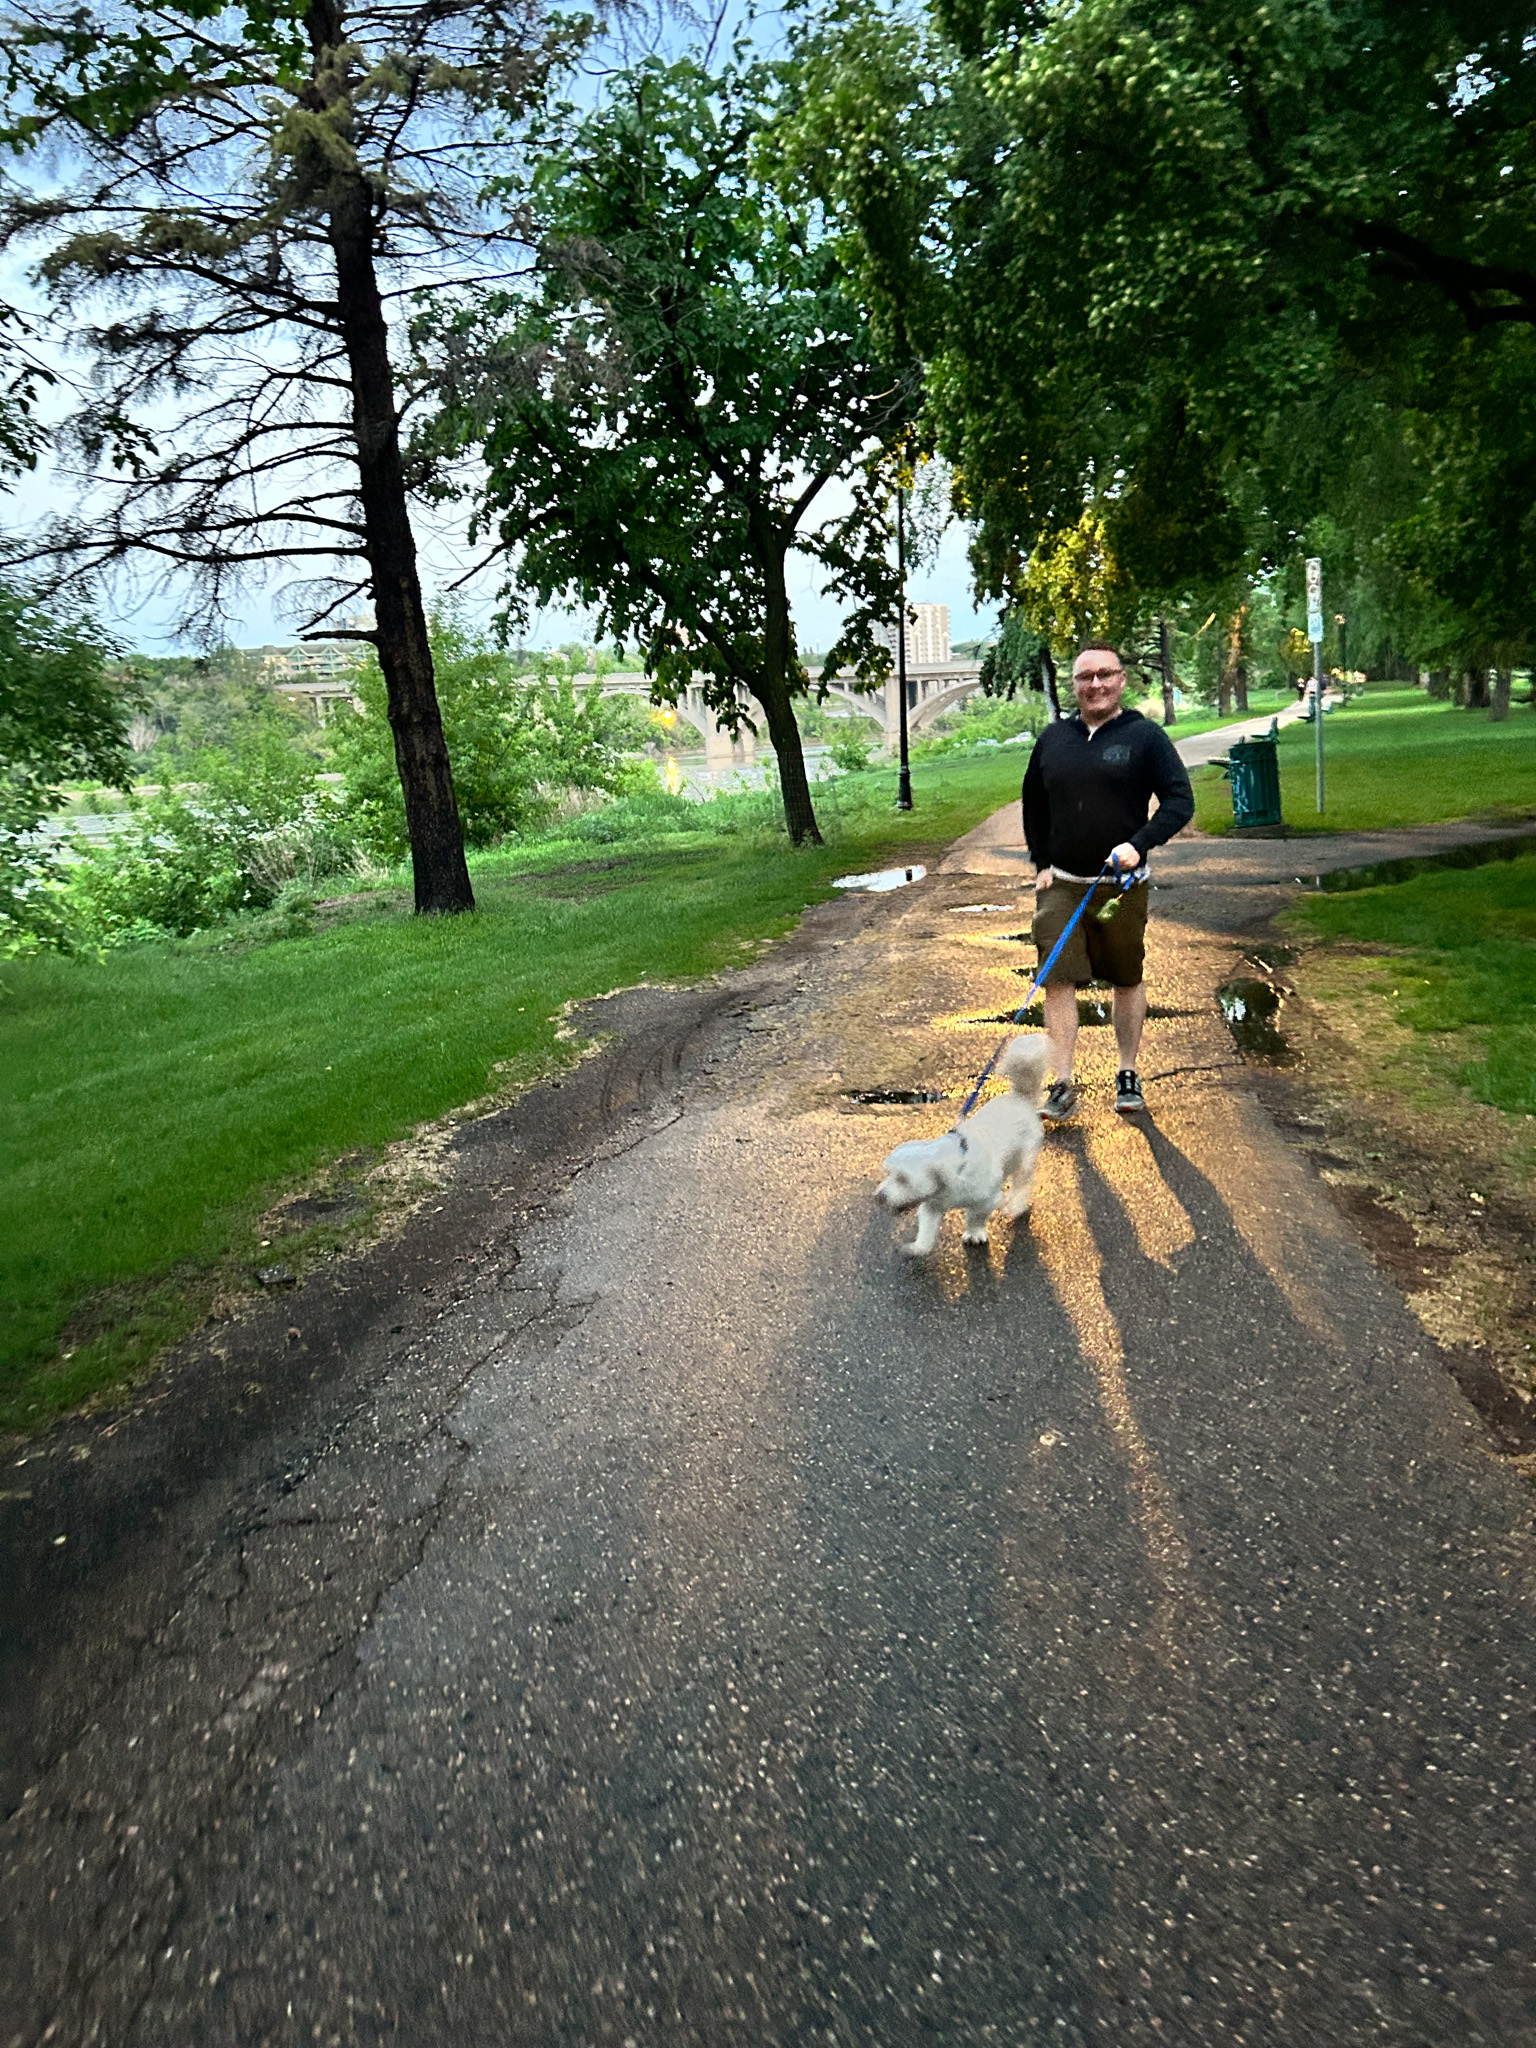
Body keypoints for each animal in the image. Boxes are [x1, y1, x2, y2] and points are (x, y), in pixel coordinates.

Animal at [876, 1040, 1056, 1245]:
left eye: (903, 1179)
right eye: (888, 1173)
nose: (879, 1196)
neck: (957, 1170)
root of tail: (1021, 1098)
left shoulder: (987, 1201)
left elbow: (975, 1217)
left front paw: (974, 1233)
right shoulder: (931, 1206)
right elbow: (926, 1234)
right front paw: (916, 1247)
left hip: (1024, 1161)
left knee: (1023, 1183)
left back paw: (1016, 1205)